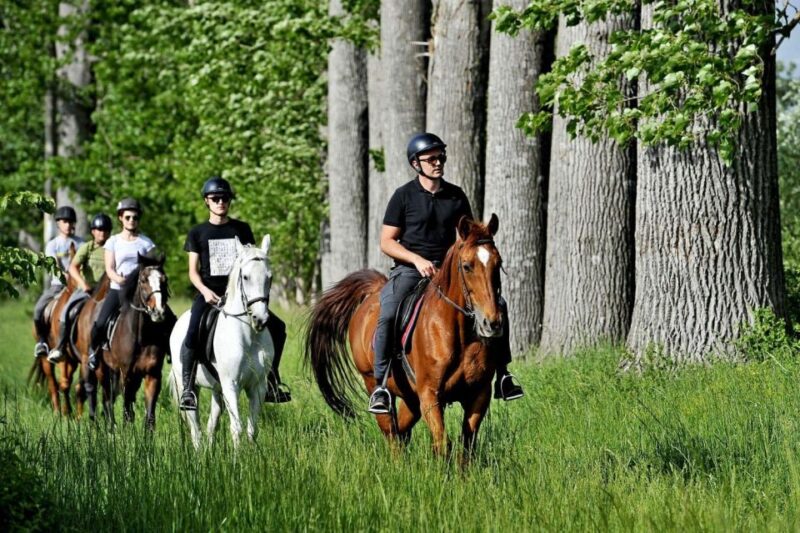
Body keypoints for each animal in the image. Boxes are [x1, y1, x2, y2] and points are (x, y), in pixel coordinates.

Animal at [96, 253, 173, 430]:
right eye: (143, 280)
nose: (159, 312)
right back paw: (111, 428)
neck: (140, 337)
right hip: (103, 370)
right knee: (107, 398)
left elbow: (149, 415)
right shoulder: (127, 374)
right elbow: (127, 410)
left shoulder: (153, 374)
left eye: (164, 279)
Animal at [305, 215, 504, 458]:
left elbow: (466, 447)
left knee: (400, 430)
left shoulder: (479, 393)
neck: (459, 334)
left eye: (498, 264)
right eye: (467, 266)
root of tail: (374, 291)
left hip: (410, 398)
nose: (491, 323)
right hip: (372, 381)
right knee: (391, 433)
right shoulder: (430, 394)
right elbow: (443, 443)